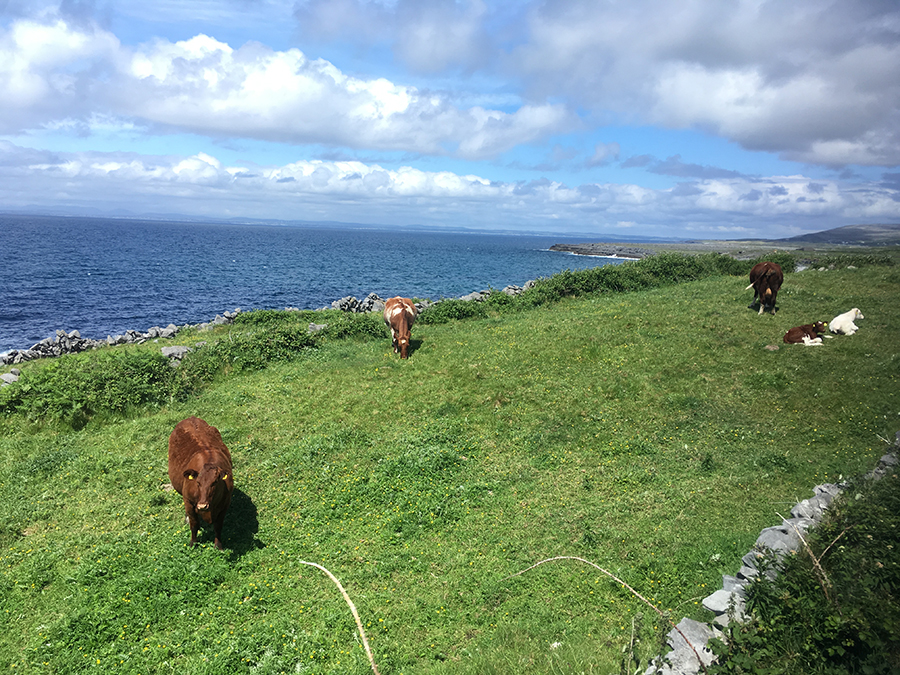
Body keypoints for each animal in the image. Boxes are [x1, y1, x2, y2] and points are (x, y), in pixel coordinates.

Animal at [167, 418, 234, 548]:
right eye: (197, 483)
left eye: (215, 482)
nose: (203, 506)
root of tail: (190, 418)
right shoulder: (188, 502)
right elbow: (194, 525)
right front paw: (193, 543)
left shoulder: (225, 504)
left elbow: (218, 526)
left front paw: (218, 545)